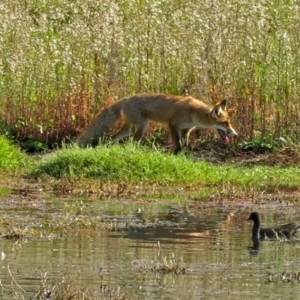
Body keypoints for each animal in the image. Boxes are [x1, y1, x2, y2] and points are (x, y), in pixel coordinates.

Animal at [77, 94, 237, 154]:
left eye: (229, 122)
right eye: (225, 123)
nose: (235, 134)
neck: (194, 113)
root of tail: (126, 98)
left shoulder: (186, 130)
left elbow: (185, 144)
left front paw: (185, 153)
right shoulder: (173, 125)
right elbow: (178, 144)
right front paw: (176, 154)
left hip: (131, 128)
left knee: (112, 137)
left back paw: (108, 147)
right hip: (140, 128)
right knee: (132, 143)